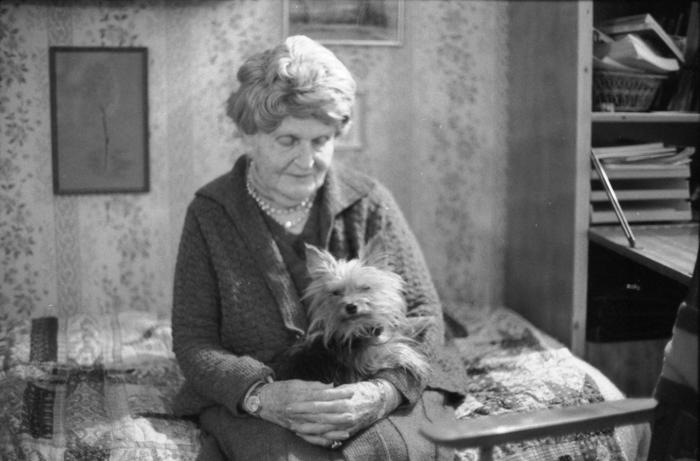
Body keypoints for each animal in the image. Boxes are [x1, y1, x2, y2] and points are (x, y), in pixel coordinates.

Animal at [278, 237, 432, 384]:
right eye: (336, 293)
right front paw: (415, 360)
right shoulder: (366, 361)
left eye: (365, 288)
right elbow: (393, 349)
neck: (359, 328)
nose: (351, 306)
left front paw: (422, 320)